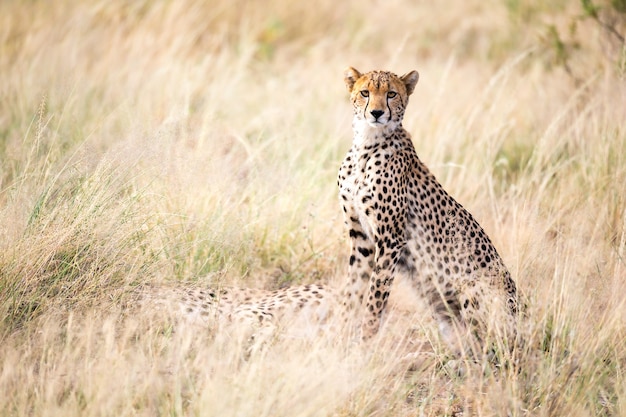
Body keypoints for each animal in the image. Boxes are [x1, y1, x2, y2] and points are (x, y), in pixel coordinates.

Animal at [338, 66, 516, 356]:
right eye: (365, 92)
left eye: (391, 94)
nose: (376, 113)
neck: (366, 144)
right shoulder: (361, 238)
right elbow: (352, 292)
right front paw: (336, 336)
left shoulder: (391, 239)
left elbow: (375, 297)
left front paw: (364, 343)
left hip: (473, 292)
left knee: (493, 349)